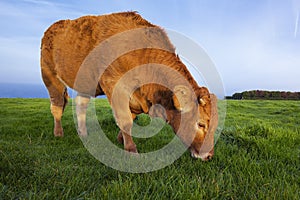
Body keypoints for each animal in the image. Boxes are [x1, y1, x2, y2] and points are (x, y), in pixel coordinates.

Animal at [40, 11, 218, 161]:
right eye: (201, 124)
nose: (208, 156)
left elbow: (130, 118)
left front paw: (120, 139)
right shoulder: (115, 86)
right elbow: (125, 119)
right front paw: (131, 150)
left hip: (85, 83)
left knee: (80, 106)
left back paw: (83, 134)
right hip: (50, 78)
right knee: (57, 106)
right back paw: (58, 133)